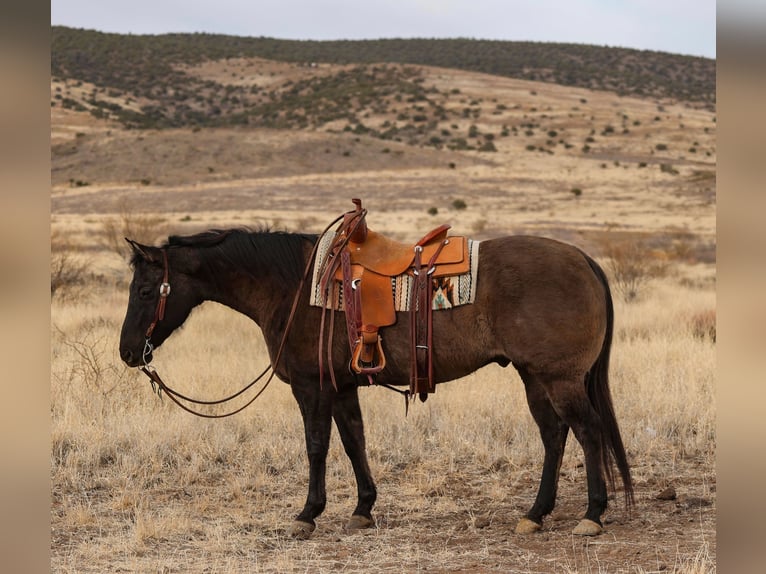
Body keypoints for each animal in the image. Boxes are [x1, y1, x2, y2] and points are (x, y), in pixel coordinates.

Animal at [120, 224, 636, 540]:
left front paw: (307, 515)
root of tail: (585, 260)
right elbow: (354, 442)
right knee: (555, 436)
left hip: (560, 379)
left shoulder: (312, 387)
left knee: (588, 432)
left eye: (145, 291)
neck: (291, 287)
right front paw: (363, 509)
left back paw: (592, 514)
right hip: (535, 378)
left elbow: (316, 446)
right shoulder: (342, 388)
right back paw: (535, 514)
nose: (127, 352)